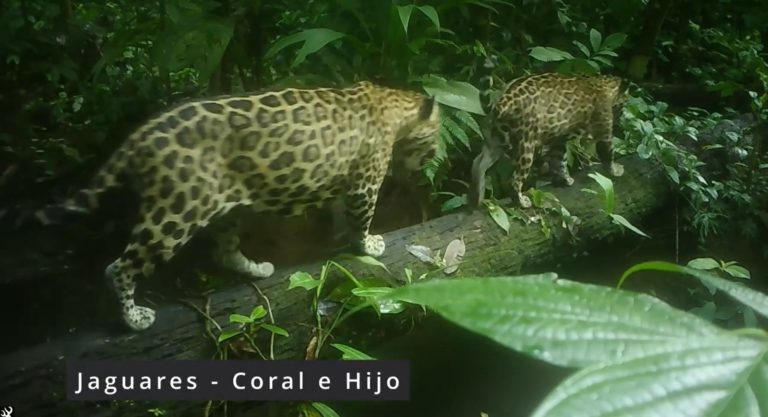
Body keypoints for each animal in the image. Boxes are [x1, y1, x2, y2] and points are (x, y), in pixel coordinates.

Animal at [13, 81, 440, 331]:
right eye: (435, 133)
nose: (434, 158)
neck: (393, 105)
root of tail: (139, 135)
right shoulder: (365, 183)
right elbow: (361, 217)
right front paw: (368, 243)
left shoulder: (346, 181)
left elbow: (339, 216)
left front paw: (344, 238)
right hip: (175, 211)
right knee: (119, 266)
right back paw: (134, 317)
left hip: (226, 207)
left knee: (223, 249)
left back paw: (257, 268)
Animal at [469, 73, 627, 208]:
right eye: (624, 103)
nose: (622, 117)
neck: (603, 84)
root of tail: (503, 100)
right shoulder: (603, 130)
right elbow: (607, 152)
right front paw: (615, 170)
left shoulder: (559, 139)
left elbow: (559, 160)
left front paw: (564, 179)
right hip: (526, 144)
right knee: (514, 180)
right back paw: (521, 202)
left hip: (495, 140)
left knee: (478, 163)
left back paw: (477, 199)